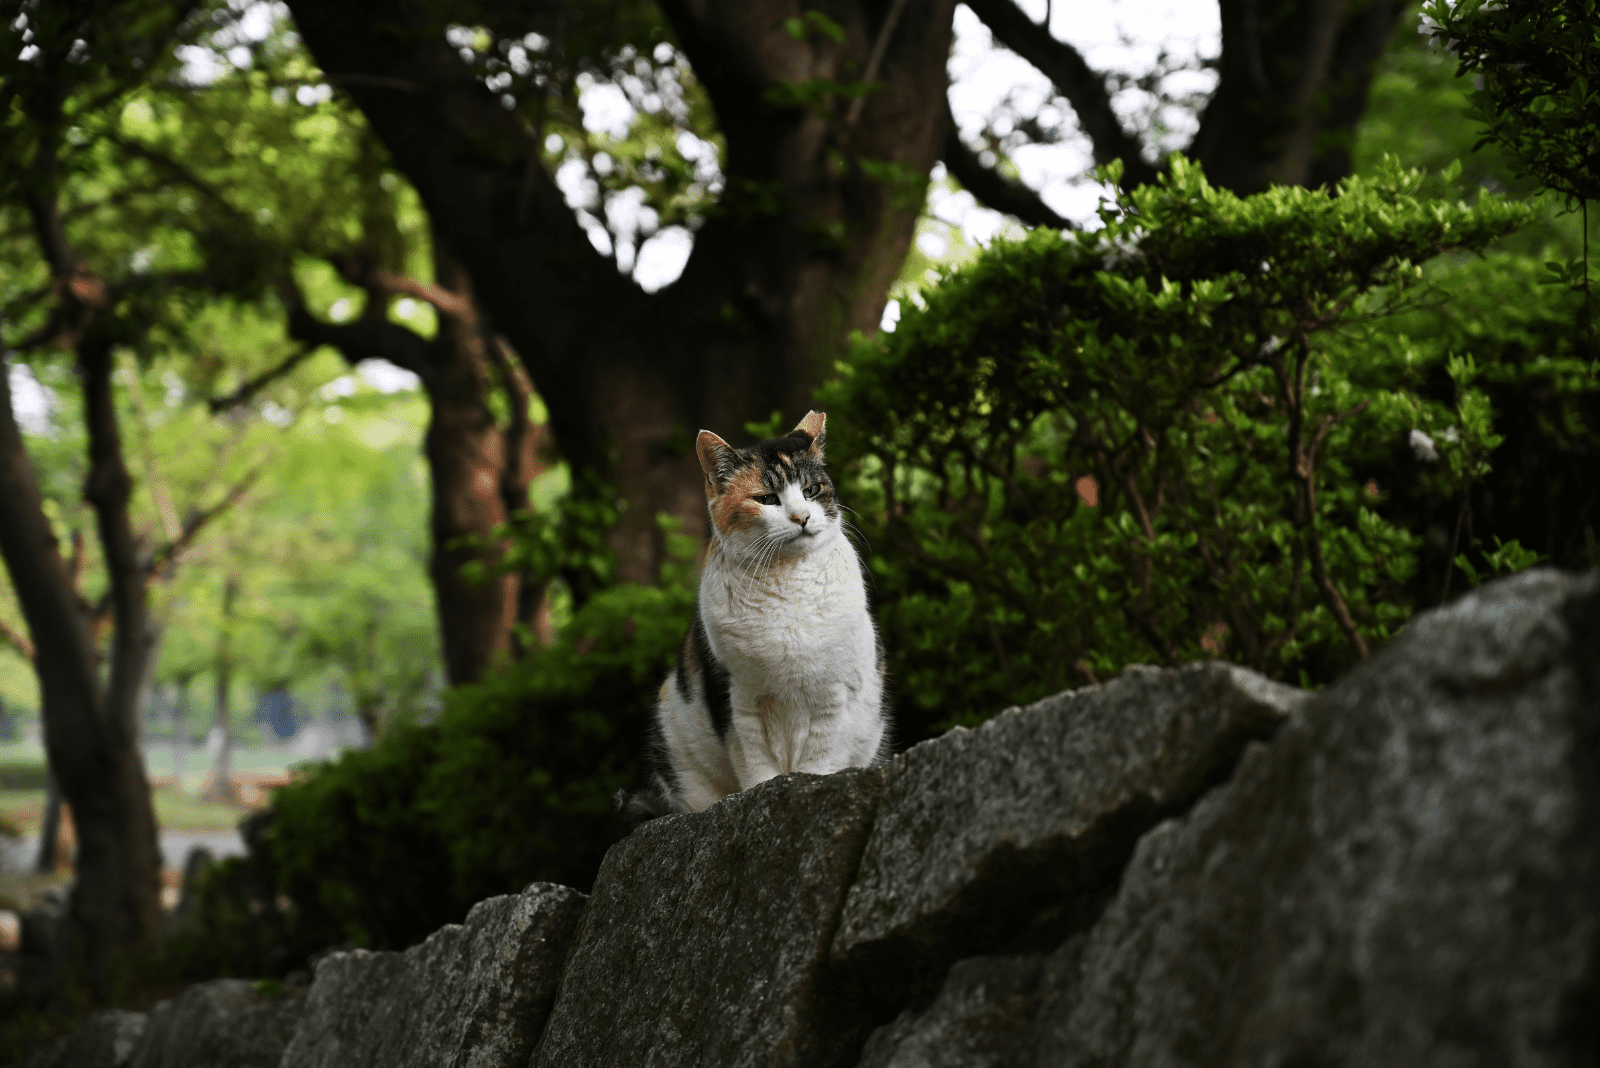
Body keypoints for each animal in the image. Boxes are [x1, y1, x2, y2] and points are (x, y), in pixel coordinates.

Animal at [620, 412, 889, 818]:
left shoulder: (834, 693)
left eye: (811, 490)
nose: (802, 517)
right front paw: (762, 796)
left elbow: (821, 757)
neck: (787, 585)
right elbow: (756, 763)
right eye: (766, 499)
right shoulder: (737, 697)